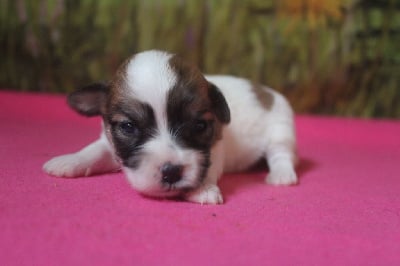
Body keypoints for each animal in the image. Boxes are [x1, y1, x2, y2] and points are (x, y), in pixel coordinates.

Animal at [43, 49, 296, 204]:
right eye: (128, 126)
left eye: (199, 125)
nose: (172, 172)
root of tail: (268, 91)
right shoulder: (109, 140)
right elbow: (93, 150)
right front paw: (70, 161)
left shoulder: (215, 145)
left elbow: (209, 165)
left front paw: (203, 188)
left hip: (281, 131)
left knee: (281, 154)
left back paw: (281, 174)